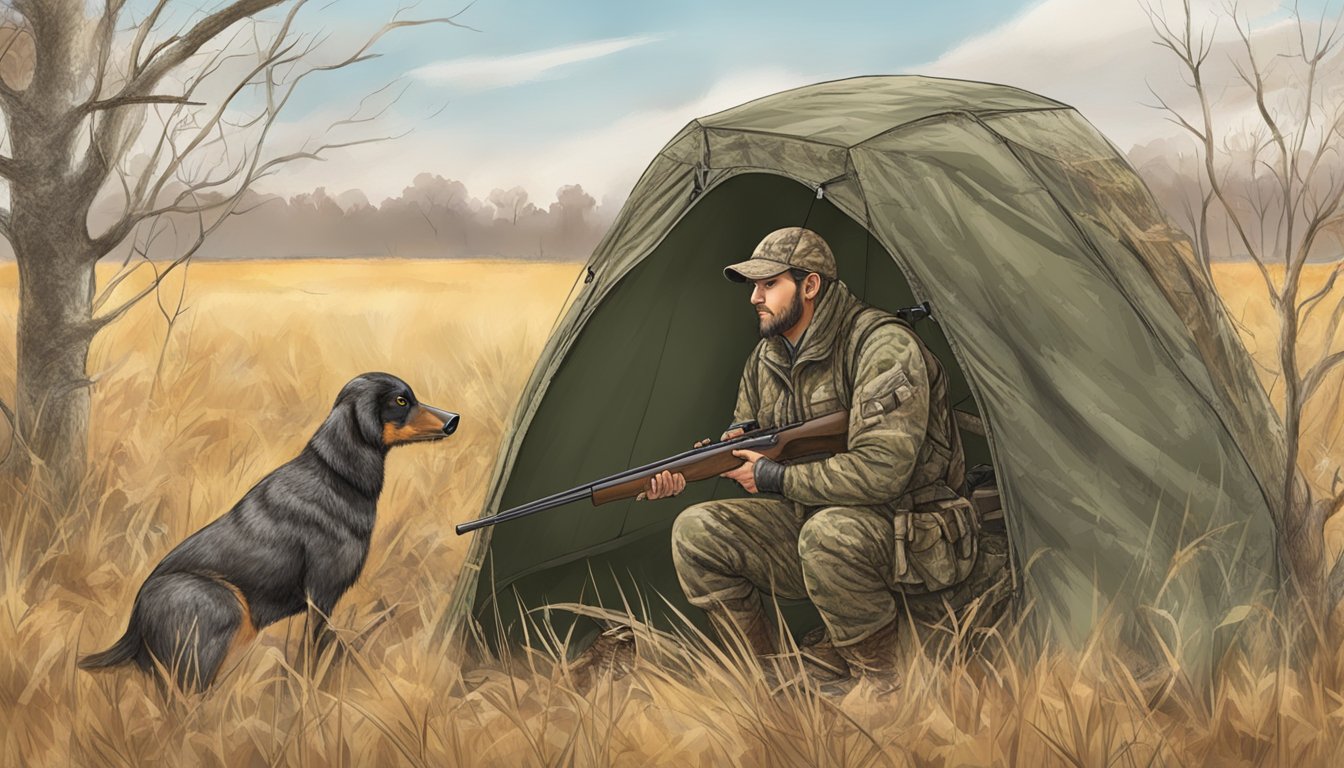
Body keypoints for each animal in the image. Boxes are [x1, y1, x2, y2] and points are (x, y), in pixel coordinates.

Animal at [78, 371, 459, 688]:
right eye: (401, 401)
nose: (454, 419)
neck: (336, 476)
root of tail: (134, 622)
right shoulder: (320, 597)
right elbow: (313, 653)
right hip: (222, 610)